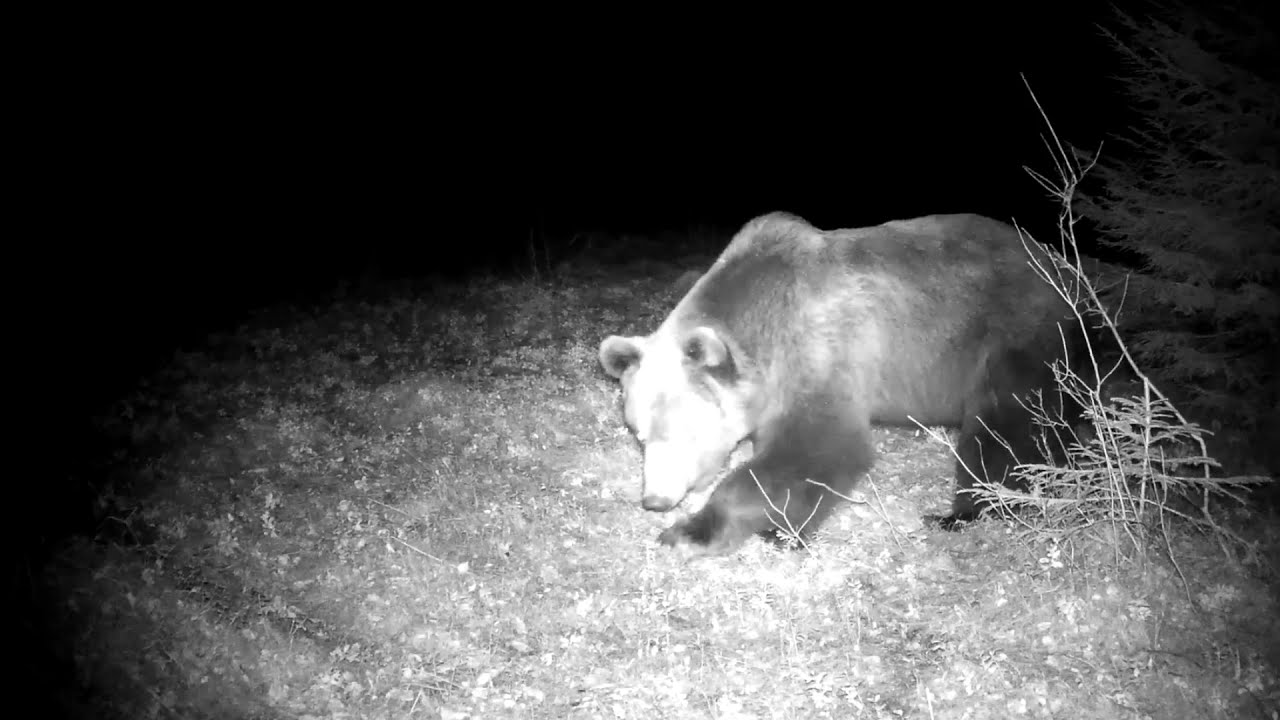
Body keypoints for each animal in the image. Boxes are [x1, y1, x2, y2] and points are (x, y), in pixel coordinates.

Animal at [598, 211, 1086, 554]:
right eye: (638, 433)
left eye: (684, 431)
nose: (655, 500)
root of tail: (1058, 263)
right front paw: (783, 530)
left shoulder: (822, 351)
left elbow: (818, 448)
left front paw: (690, 532)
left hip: (1009, 333)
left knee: (1004, 426)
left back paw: (967, 511)